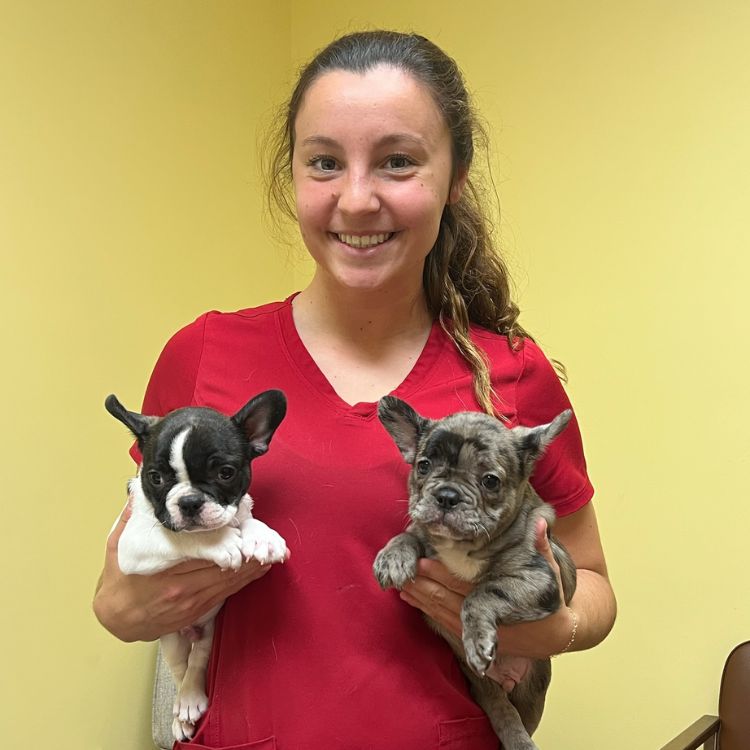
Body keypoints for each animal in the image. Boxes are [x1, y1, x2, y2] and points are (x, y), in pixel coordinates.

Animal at [103, 390, 284, 744]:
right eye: (155, 478)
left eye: (225, 472)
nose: (189, 502)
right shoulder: (132, 543)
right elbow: (178, 538)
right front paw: (222, 542)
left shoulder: (240, 507)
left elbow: (245, 516)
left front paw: (262, 536)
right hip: (170, 639)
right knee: (179, 669)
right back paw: (182, 709)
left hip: (209, 631)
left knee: (197, 660)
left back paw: (190, 697)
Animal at [374, 396, 580, 748]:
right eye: (423, 465)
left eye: (490, 481)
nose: (447, 496)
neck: (464, 547)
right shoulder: (425, 531)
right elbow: (413, 532)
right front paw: (394, 556)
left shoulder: (536, 578)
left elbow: (482, 593)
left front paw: (477, 635)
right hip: (481, 686)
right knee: (499, 708)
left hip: (531, 688)